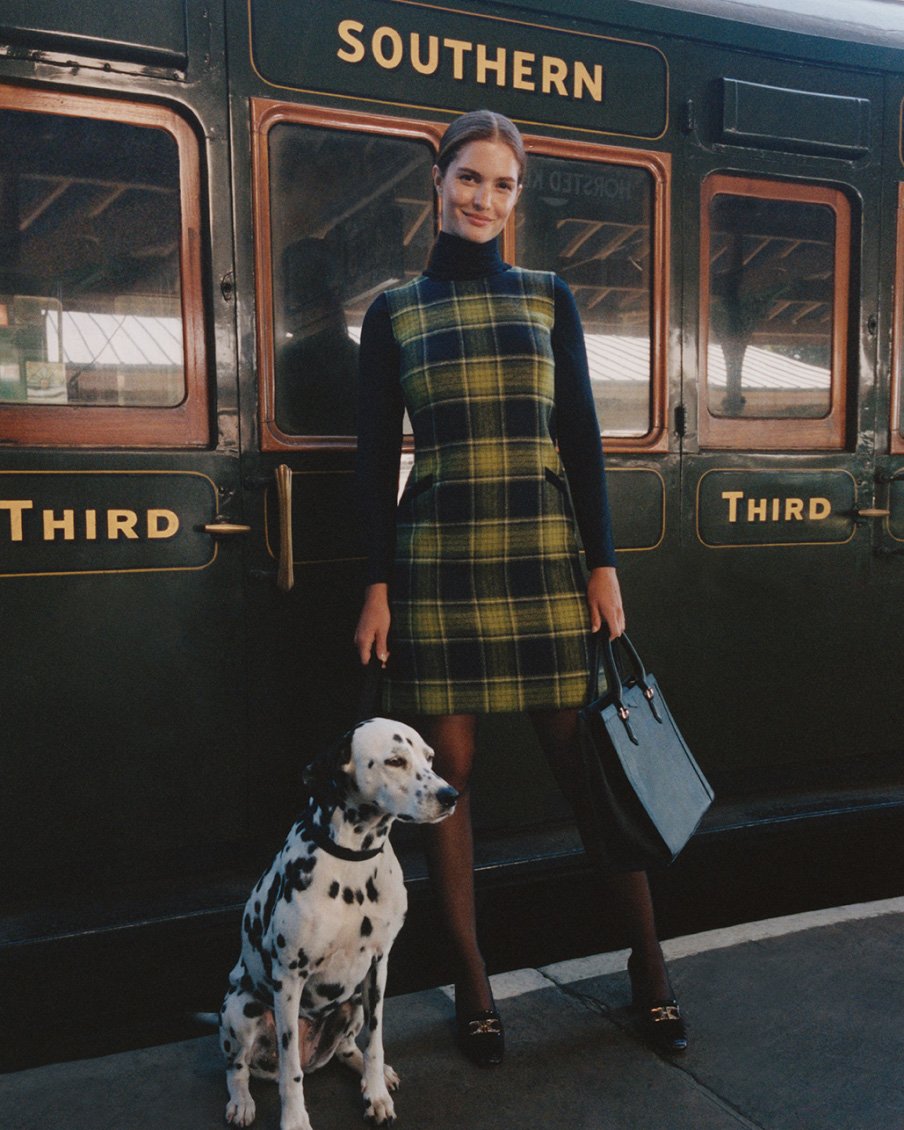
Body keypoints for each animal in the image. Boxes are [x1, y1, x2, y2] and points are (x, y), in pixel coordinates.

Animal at [220, 718, 458, 1125]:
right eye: (395, 761)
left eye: (429, 757)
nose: (450, 795)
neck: (352, 862)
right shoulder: (289, 980)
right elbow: (290, 1071)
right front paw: (295, 1120)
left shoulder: (378, 966)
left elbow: (376, 1043)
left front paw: (375, 1093)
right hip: (240, 1008)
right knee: (238, 1068)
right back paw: (242, 1101)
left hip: (353, 1005)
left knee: (348, 1048)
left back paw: (371, 1074)